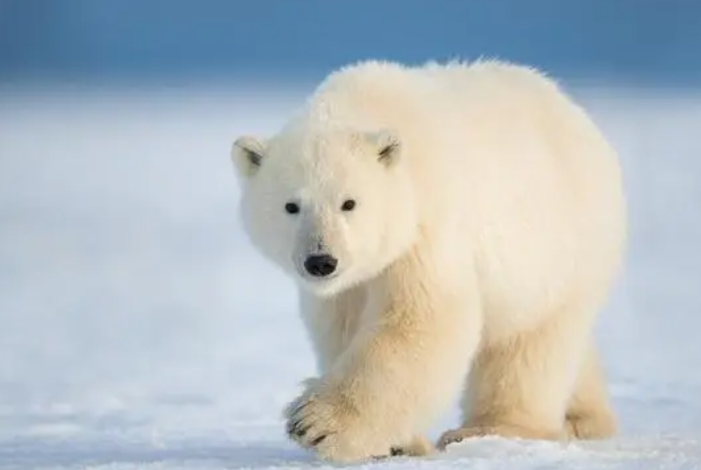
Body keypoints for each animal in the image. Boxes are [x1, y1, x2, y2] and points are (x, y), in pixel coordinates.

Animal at [229, 58, 626, 463]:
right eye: (291, 206)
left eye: (349, 202)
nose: (321, 260)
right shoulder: (347, 286)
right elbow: (342, 327)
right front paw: (397, 443)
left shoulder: (426, 225)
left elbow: (421, 320)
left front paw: (316, 423)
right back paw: (584, 418)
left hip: (558, 249)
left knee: (530, 342)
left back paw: (493, 427)